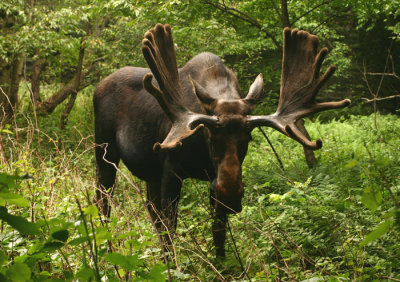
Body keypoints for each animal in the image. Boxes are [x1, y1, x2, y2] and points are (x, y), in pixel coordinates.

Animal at [94, 24, 350, 258]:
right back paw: (105, 249)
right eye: (209, 135)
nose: (229, 195)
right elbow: (169, 228)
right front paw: (172, 265)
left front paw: (222, 264)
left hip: (150, 173)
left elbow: (218, 231)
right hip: (104, 151)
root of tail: (99, 85)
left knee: (149, 209)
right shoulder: (171, 168)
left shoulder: (209, 181)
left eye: (248, 138)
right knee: (103, 200)